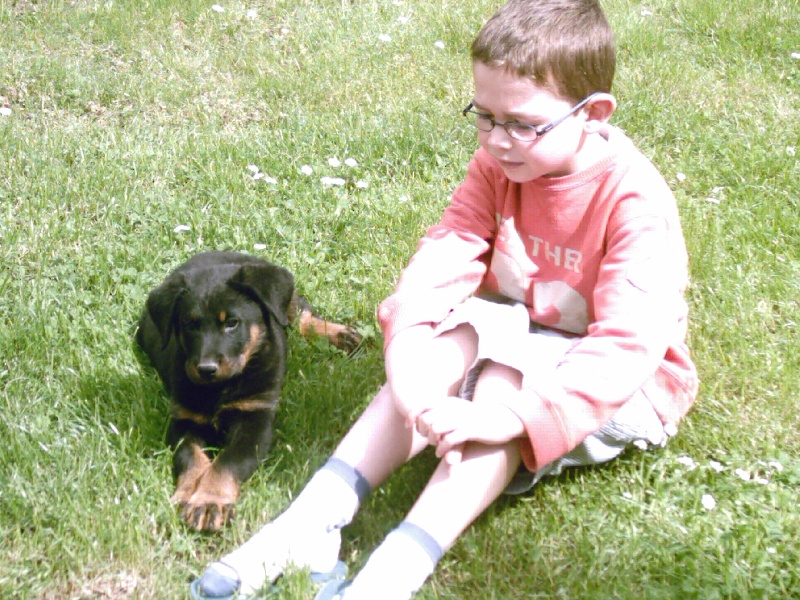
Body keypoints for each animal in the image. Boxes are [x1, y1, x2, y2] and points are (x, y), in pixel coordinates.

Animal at [135, 251, 361, 532]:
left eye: (232, 323)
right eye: (189, 324)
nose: (206, 369)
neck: (221, 388)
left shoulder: (254, 419)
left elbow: (227, 462)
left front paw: (210, 501)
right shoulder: (184, 420)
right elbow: (191, 457)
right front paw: (189, 494)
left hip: (284, 300)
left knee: (301, 315)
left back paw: (340, 335)